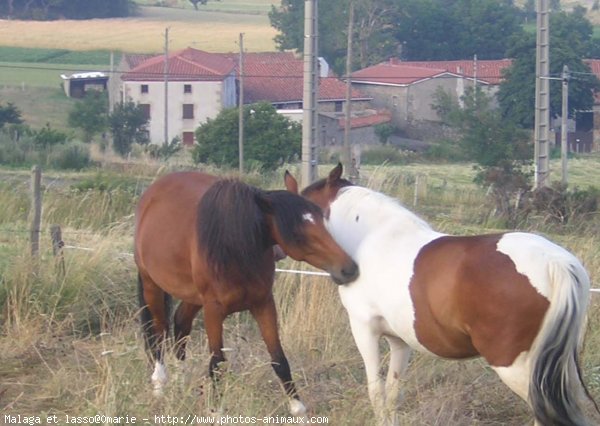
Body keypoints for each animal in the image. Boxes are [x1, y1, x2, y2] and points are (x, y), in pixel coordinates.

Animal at [134, 171, 358, 416]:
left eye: (323, 221)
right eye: (298, 234)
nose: (349, 269)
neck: (237, 245)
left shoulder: (263, 304)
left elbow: (279, 359)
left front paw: (297, 409)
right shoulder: (214, 311)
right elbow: (217, 363)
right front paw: (216, 412)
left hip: (192, 295)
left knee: (180, 324)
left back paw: (179, 381)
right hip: (152, 285)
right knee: (158, 331)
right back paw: (160, 384)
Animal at [288, 164, 596, 426]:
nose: (344, 272)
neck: (370, 239)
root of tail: (556, 262)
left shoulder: (365, 331)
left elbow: (376, 392)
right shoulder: (400, 341)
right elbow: (393, 393)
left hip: (519, 369)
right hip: (560, 366)